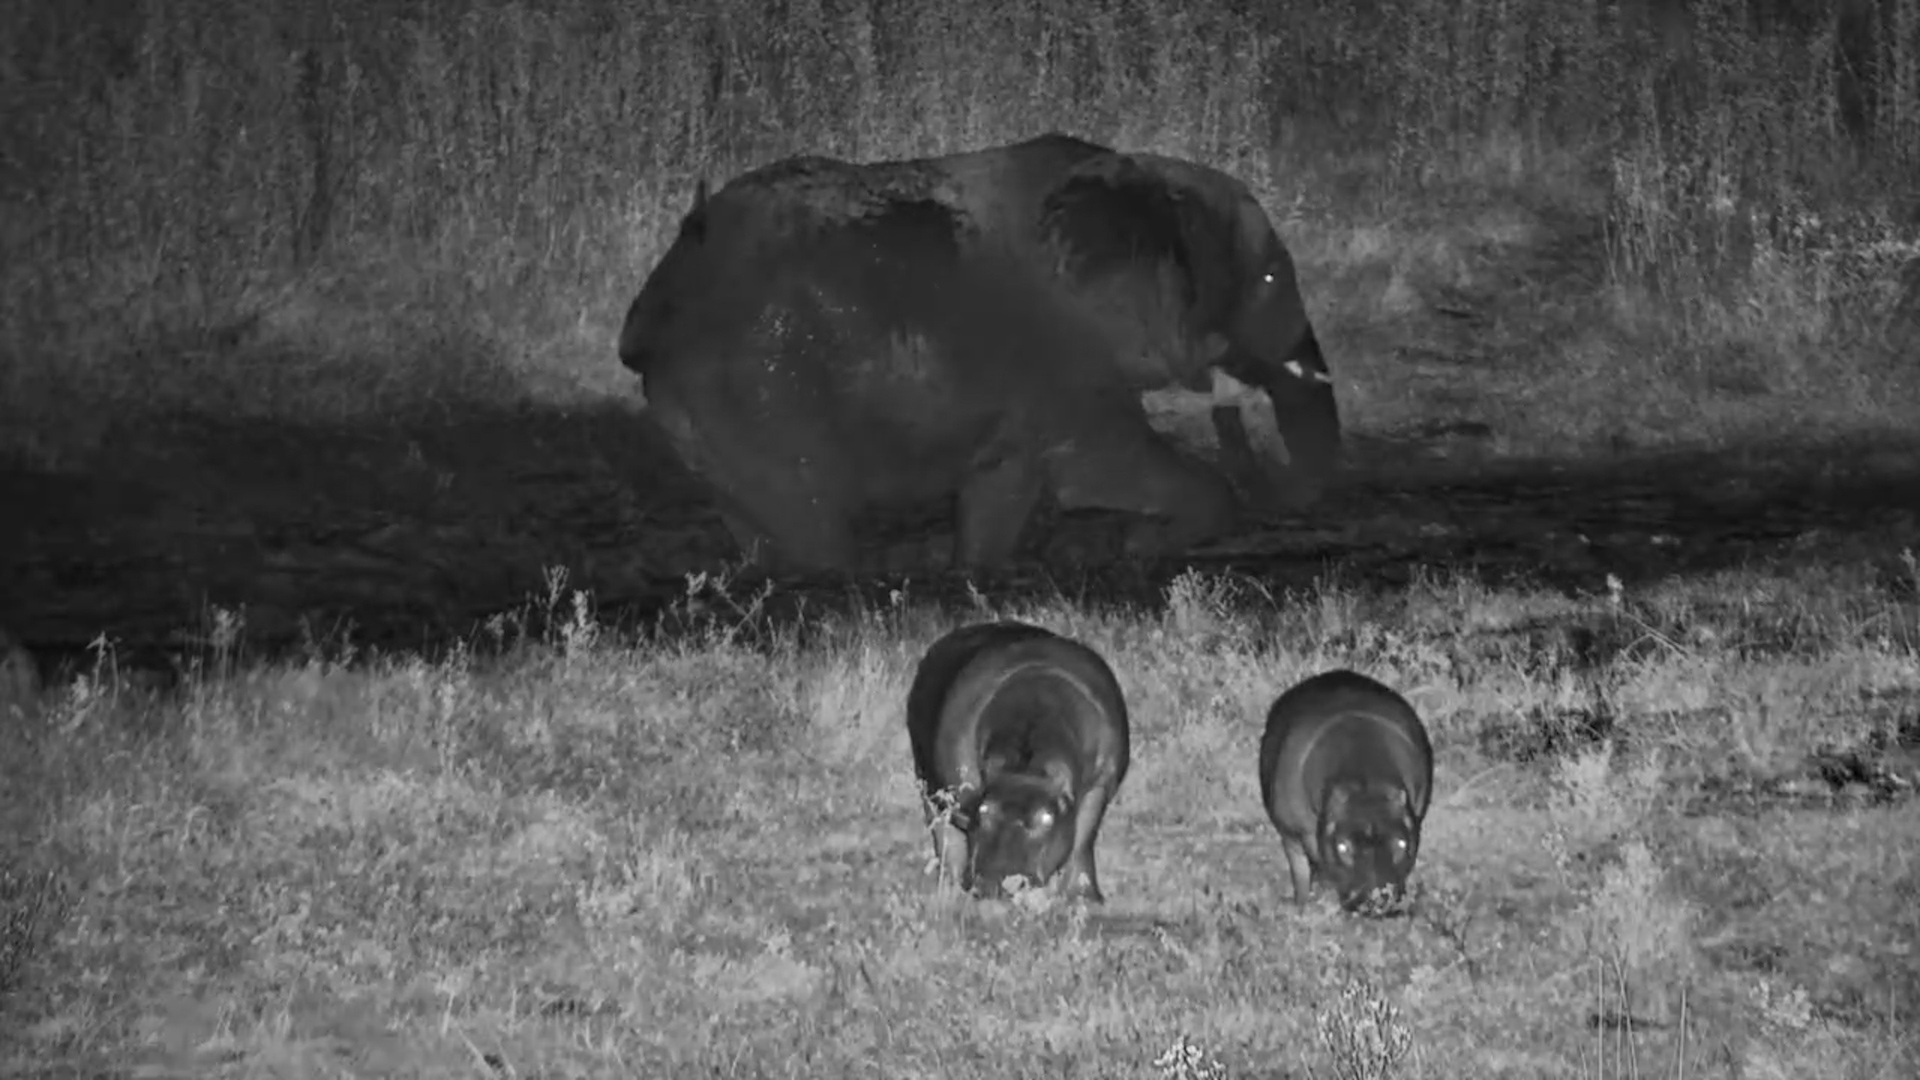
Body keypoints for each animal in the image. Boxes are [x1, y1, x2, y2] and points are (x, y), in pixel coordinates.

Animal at [905, 620, 1132, 903]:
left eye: (1046, 818)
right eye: (983, 811)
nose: (992, 882)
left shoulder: (1100, 784)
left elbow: (1084, 837)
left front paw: (1085, 897)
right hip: (926, 781)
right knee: (942, 830)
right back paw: (949, 884)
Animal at [1258, 669, 1435, 914]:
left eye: (1401, 844)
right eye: (1342, 847)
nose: (1377, 898)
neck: (1365, 781)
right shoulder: (1301, 833)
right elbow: (1307, 869)